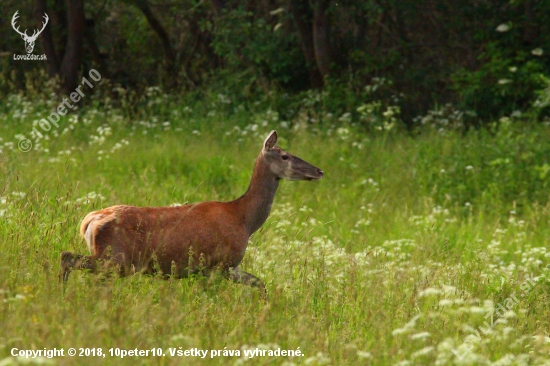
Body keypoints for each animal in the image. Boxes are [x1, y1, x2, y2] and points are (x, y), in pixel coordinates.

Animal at [60, 132, 326, 300]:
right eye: (285, 156)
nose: (319, 171)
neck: (244, 219)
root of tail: (89, 221)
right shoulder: (216, 263)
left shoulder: (229, 266)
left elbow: (261, 283)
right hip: (114, 258)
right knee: (68, 258)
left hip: (113, 260)